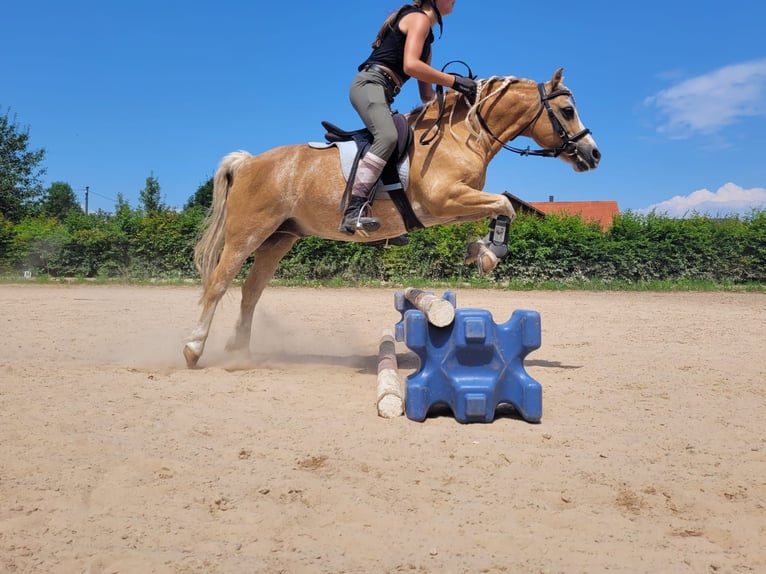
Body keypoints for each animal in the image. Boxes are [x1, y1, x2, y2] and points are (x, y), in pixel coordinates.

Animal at [184, 67, 600, 368]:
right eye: (567, 111)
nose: (593, 154)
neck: (463, 135)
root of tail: (249, 161)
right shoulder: (444, 199)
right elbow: (505, 204)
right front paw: (489, 254)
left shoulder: (450, 207)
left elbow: (499, 206)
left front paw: (480, 250)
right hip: (247, 234)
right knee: (219, 284)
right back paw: (193, 349)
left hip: (279, 239)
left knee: (250, 293)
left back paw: (240, 354)